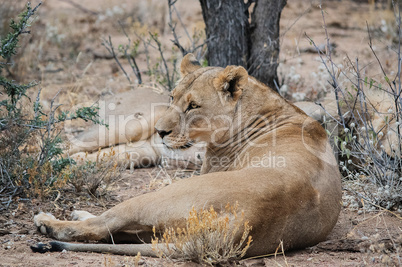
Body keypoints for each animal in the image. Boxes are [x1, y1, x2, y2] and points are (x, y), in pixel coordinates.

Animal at [32, 54, 342, 258]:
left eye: (193, 106)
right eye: (172, 97)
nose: (159, 131)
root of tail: (241, 223)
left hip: (157, 198)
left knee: (101, 226)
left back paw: (48, 222)